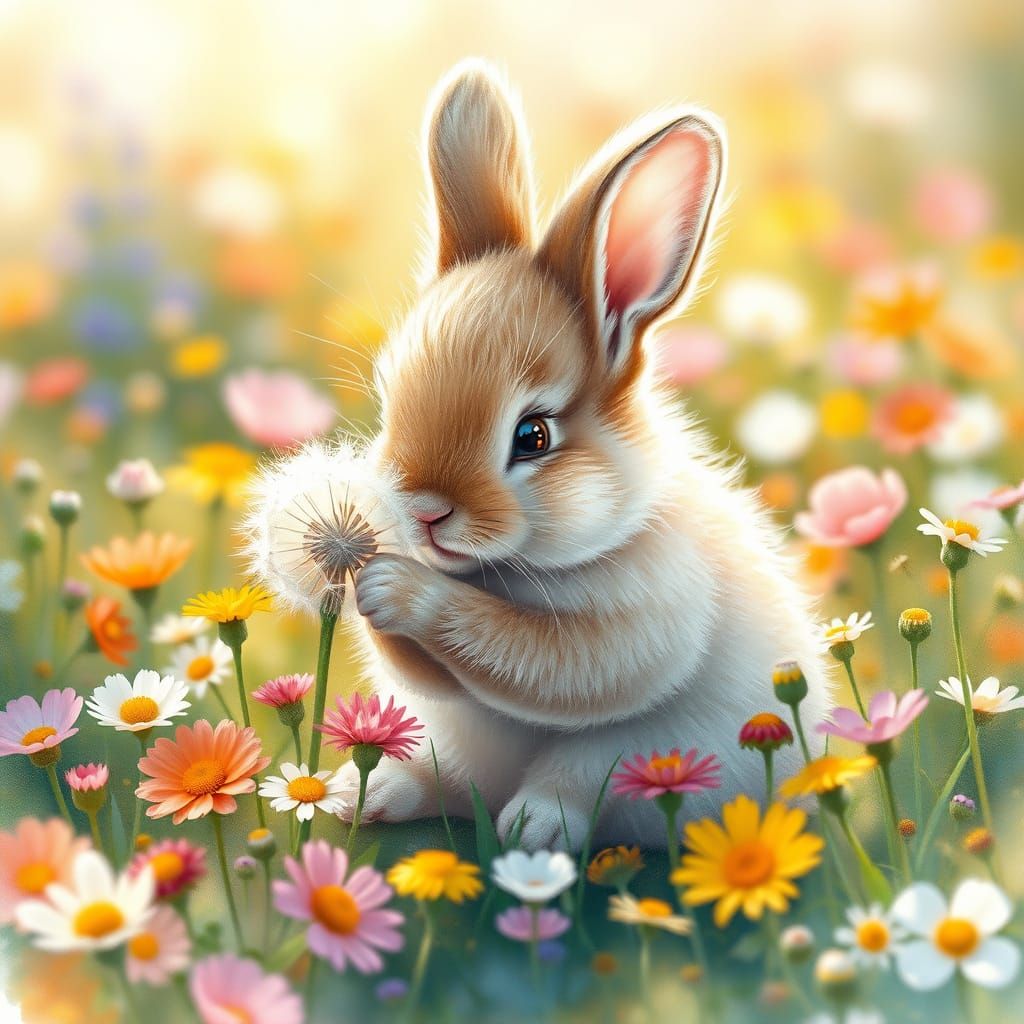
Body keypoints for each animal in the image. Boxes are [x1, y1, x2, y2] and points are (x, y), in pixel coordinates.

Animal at [335, 58, 833, 851]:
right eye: (388, 404)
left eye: (532, 436)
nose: (423, 511)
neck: (503, 570)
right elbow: (437, 671)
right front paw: (362, 579)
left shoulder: (646, 613)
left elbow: (551, 664)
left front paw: (395, 588)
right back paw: (370, 794)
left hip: (628, 760)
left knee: (570, 789)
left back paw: (529, 829)